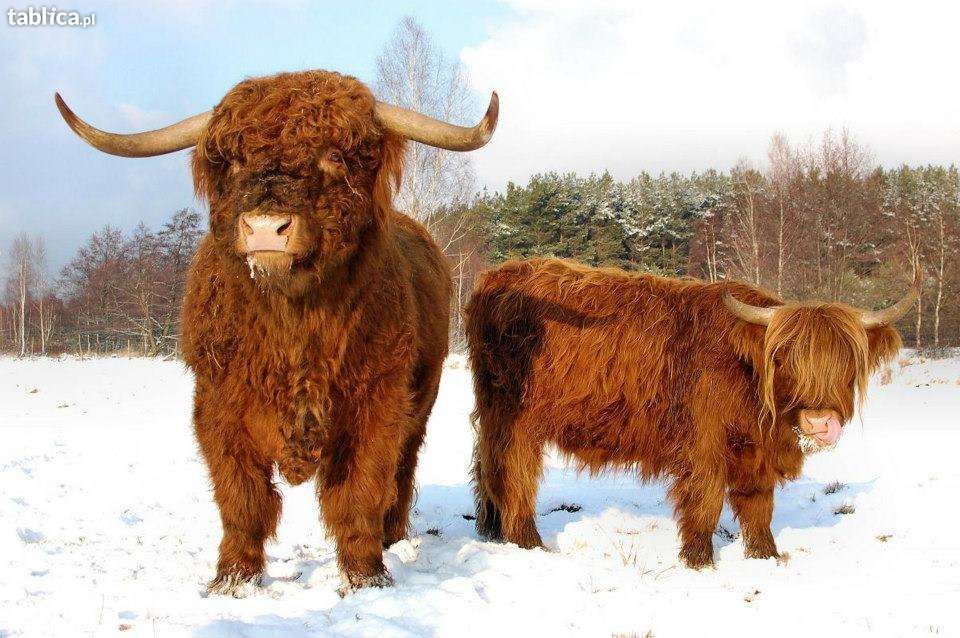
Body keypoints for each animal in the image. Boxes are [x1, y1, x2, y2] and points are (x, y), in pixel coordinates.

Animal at [464, 258, 916, 568]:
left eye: (847, 362)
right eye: (784, 358)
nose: (821, 421)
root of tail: (497, 277)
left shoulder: (758, 452)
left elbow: (758, 506)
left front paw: (765, 557)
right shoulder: (704, 445)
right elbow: (706, 500)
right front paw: (699, 560)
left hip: (493, 417)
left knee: (488, 468)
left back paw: (492, 530)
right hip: (516, 419)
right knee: (515, 473)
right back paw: (528, 542)